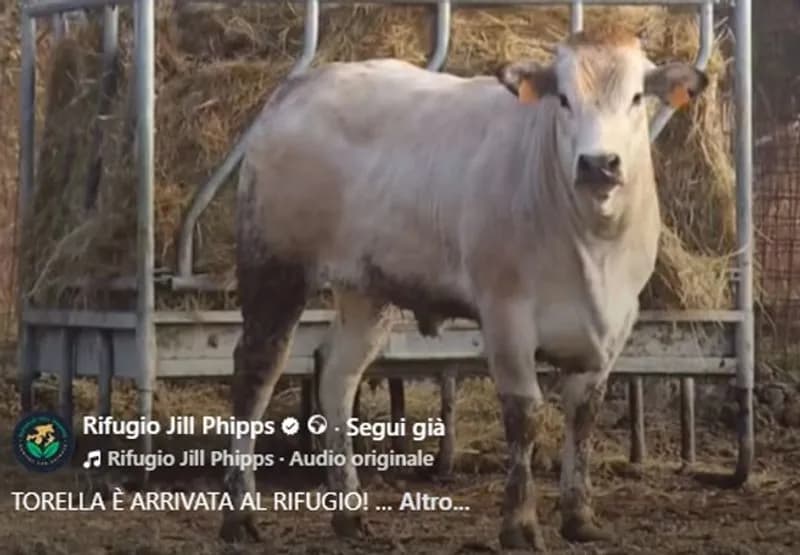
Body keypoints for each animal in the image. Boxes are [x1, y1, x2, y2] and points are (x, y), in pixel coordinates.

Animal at [219, 26, 708, 551]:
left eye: (637, 97)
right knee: (256, 374)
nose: (599, 164)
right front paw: (520, 525)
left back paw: (349, 512)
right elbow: (525, 414)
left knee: (337, 374)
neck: (592, 248)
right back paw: (239, 515)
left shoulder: (614, 326)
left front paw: (580, 517)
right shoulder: (506, 314)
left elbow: (583, 415)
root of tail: (300, 87)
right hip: (274, 265)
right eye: (563, 98)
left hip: (367, 288)